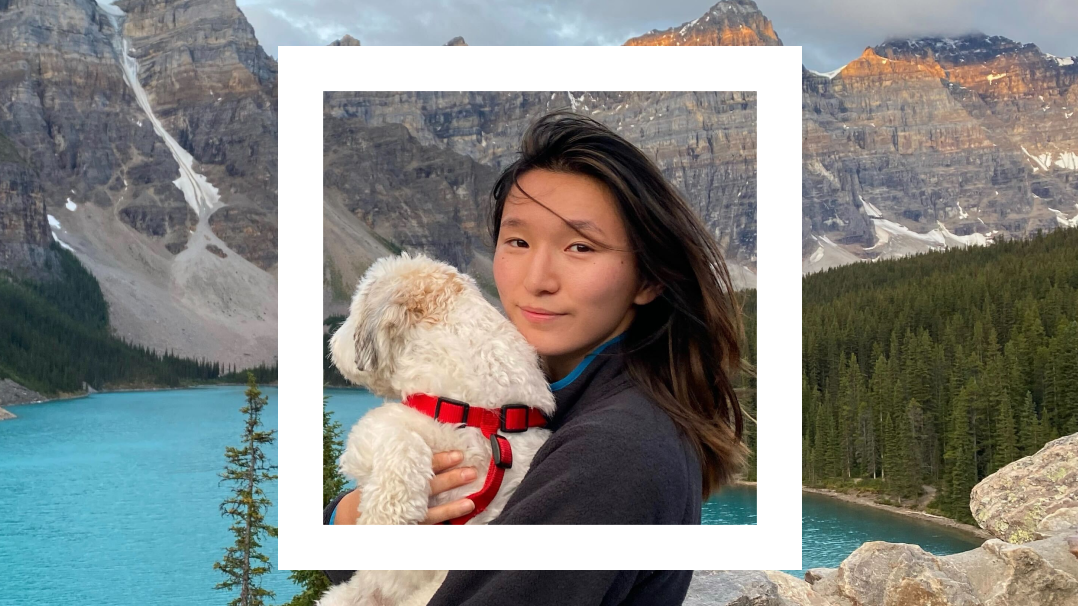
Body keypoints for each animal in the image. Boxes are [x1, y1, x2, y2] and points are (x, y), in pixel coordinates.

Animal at [319, 250, 556, 603]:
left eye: (354, 309)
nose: (332, 342)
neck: (479, 411)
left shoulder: (372, 429)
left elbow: (401, 439)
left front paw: (388, 517)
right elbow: (407, 442)